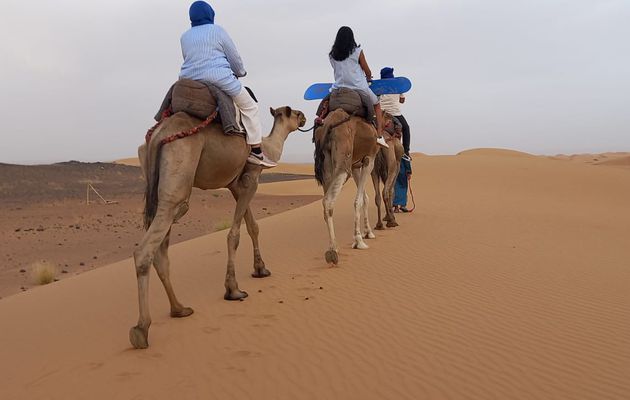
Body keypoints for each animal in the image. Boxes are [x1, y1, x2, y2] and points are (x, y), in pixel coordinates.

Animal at [130, 106, 308, 346]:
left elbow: (252, 226)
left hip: (155, 186)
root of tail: (159, 134)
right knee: (145, 249)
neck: (268, 147)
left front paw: (260, 269)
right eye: (295, 113)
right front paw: (233, 290)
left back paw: (179, 309)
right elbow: (234, 234)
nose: (305, 117)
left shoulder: (235, 185)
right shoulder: (251, 179)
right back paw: (141, 329)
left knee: (161, 250)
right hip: (178, 174)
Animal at [314, 108, 380, 268]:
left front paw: (368, 232)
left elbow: (365, 198)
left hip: (327, 166)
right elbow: (358, 200)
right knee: (328, 201)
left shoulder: (356, 164)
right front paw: (358, 240)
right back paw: (332, 252)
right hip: (343, 161)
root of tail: (328, 126)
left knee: (326, 201)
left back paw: (334, 247)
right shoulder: (369, 159)